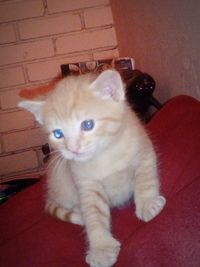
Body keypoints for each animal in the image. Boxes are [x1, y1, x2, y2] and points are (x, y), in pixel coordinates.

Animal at [18, 69, 166, 267]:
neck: (105, 155)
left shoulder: (144, 153)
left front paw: (148, 203)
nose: (73, 149)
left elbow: (146, 179)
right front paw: (101, 248)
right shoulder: (87, 185)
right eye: (57, 134)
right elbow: (93, 213)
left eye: (88, 124)